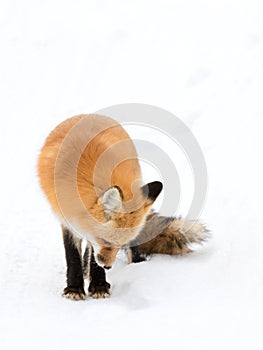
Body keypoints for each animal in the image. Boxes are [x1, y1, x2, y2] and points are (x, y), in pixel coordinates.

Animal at [38, 115, 209, 300]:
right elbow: (73, 255)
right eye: (106, 241)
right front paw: (75, 288)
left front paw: (98, 284)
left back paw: (137, 264)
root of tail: (86, 115)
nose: (108, 267)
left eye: (118, 245)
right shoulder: (66, 217)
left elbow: (94, 256)